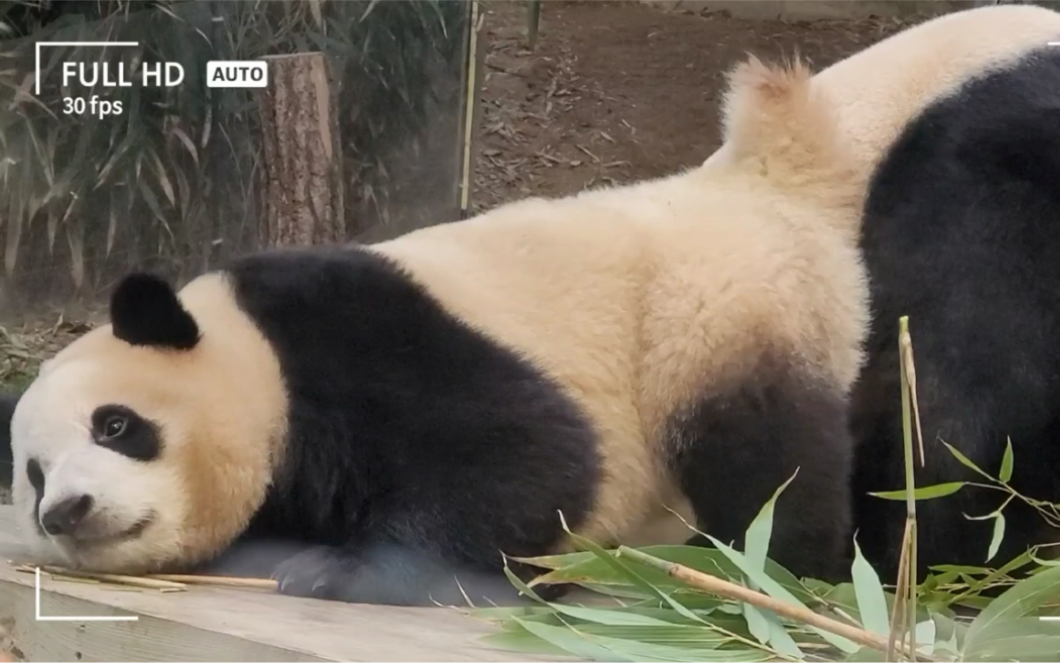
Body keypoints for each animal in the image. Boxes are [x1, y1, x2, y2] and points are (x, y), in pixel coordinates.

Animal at [8, 58, 869, 606]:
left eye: (116, 425)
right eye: (35, 477)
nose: (67, 511)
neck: (247, 347)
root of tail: (766, 181)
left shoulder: (351, 336)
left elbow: (526, 451)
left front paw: (339, 571)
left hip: (715, 318)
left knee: (768, 460)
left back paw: (771, 572)